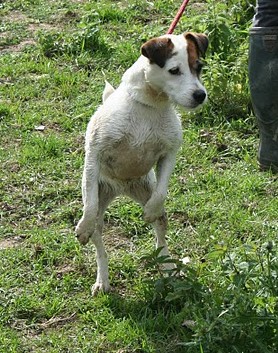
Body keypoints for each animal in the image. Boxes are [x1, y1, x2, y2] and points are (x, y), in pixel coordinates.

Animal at [75, 31, 207, 294]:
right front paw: (83, 227)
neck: (149, 105)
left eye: (198, 67)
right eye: (174, 70)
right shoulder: (94, 154)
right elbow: (90, 206)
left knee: (161, 235)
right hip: (102, 202)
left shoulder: (169, 152)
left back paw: (167, 267)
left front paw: (151, 210)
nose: (200, 95)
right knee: (99, 243)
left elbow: (162, 191)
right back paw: (102, 280)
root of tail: (122, 188)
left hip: (146, 191)